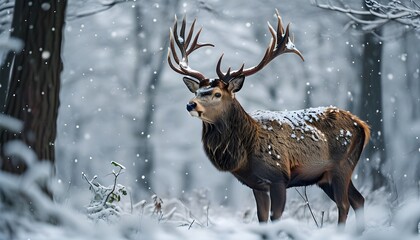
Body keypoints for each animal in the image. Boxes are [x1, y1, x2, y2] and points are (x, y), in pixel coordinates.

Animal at [167, 10, 370, 228]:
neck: (247, 149)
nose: (191, 105)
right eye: (197, 91)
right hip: (325, 178)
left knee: (344, 205)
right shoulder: (257, 184)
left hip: (342, 165)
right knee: (359, 200)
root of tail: (363, 126)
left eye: (217, 94)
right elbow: (262, 218)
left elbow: (276, 217)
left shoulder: (279, 177)